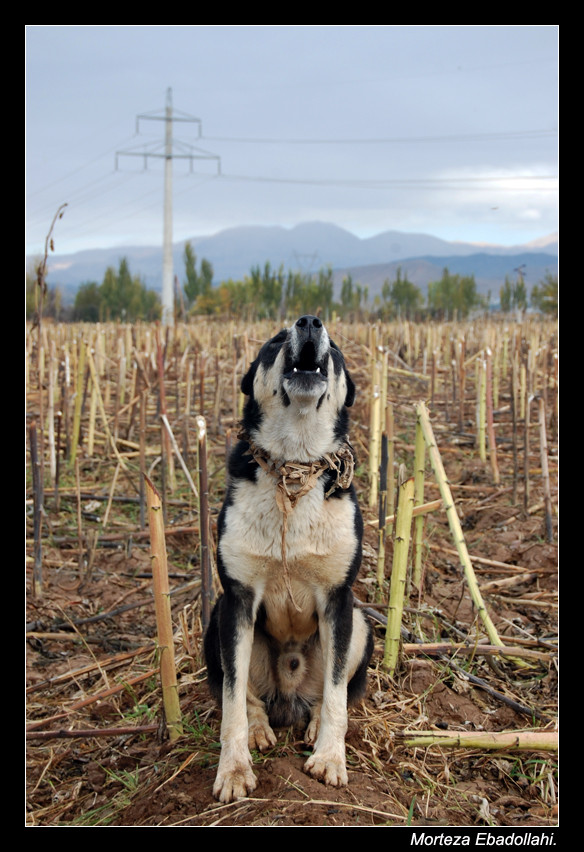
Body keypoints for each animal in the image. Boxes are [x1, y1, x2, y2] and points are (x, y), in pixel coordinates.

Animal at [203, 314, 372, 804]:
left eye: (335, 348)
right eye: (276, 340)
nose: (310, 322)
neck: (294, 465)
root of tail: (289, 696)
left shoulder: (338, 599)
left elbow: (336, 697)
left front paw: (331, 758)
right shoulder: (237, 599)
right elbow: (232, 701)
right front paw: (234, 769)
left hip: (361, 623)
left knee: (330, 692)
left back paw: (313, 725)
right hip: (216, 620)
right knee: (246, 695)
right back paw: (260, 727)